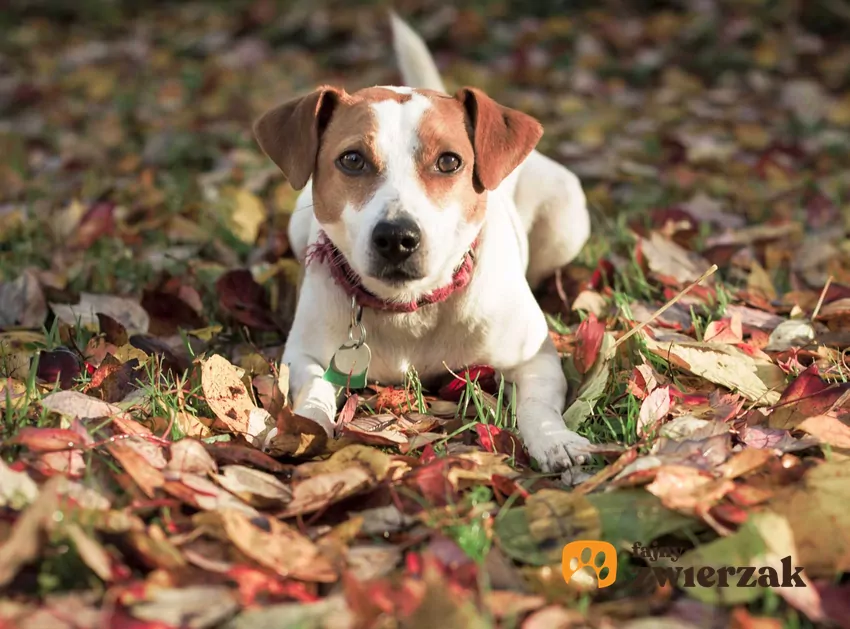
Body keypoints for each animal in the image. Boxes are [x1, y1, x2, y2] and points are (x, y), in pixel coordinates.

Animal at [253, 13, 588, 476]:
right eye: (352, 159)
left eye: (449, 161)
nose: (397, 238)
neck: (410, 308)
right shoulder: (304, 357)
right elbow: (313, 392)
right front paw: (302, 428)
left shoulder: (535, 359)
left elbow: (538, 405)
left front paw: (556, 440)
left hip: (566, 217)